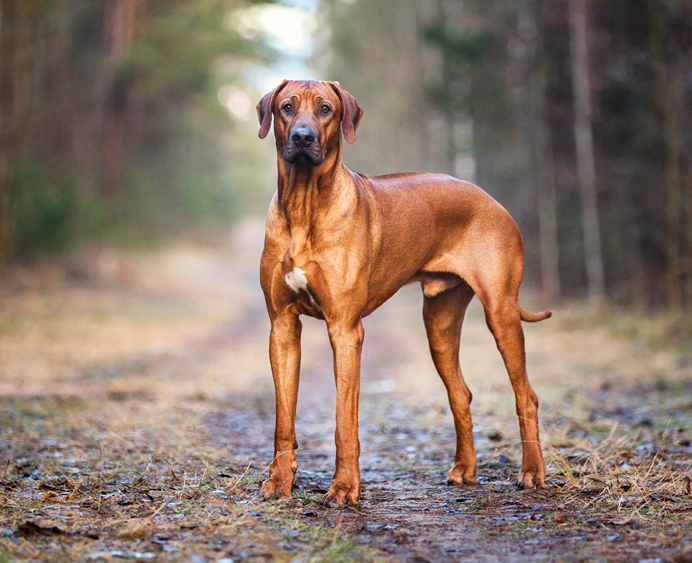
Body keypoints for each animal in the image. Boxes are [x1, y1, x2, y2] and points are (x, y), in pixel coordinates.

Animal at [255, 79, 552, 506]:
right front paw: (279, 481)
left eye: (326, 109)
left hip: (501, 312)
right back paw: (465, 469)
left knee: (526, 395)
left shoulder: (345, 331)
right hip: (439, 325)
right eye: (287, 107)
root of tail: (491, 199)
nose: (302, 137)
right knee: (461, 393)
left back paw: (531, 472)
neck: (304, 204)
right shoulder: (281, 327)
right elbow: (283, 419)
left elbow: (344, 421)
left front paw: (344, 487)